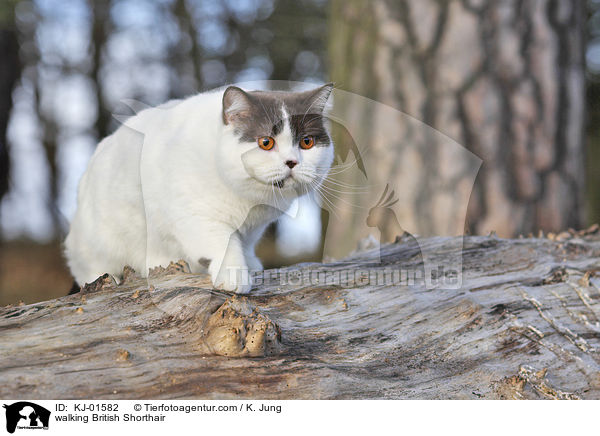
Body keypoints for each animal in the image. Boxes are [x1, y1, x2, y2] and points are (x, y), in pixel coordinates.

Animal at [65, 82, 338, 292]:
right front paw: (234, 275)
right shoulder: (195, 215)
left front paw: (250, 263)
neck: (248, 199)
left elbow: (245, 241)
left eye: (307, 142)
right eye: (266, 142)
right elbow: (225, 241)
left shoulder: (255, 226)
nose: (292, 161)